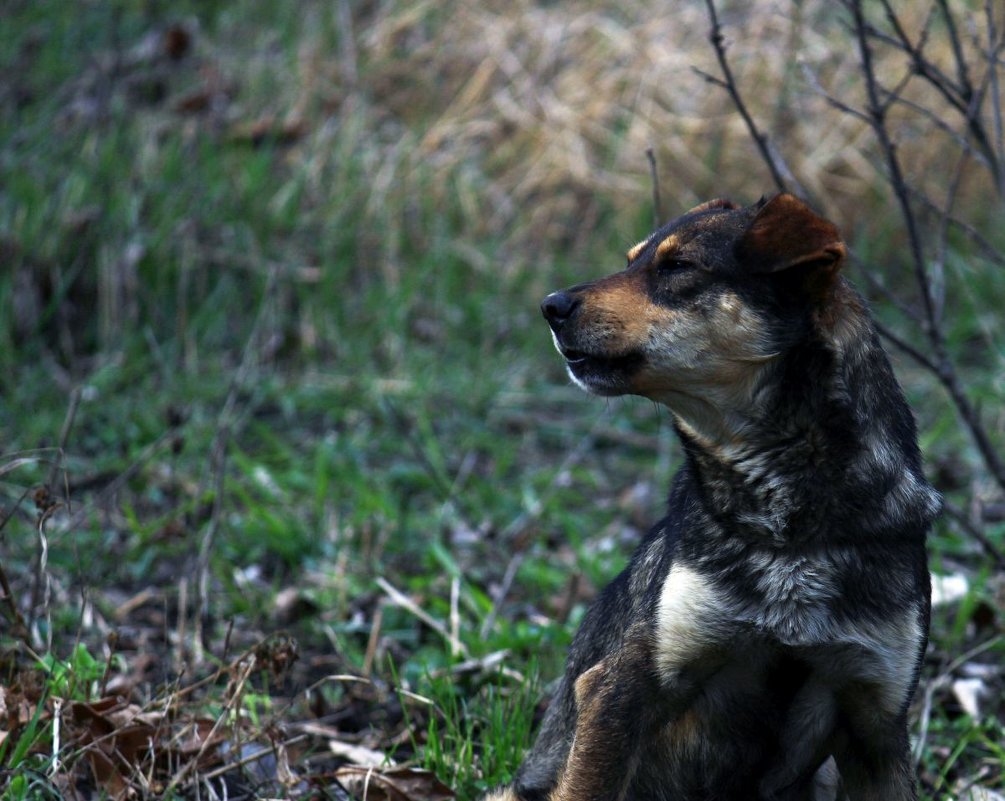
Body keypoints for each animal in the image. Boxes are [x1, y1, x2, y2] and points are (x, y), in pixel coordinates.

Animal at [486, 194, 940, 799]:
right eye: (632, 261)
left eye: (679, 267)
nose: (550, 305)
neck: (789, 531)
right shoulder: (624, 684)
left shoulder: (877, 721)